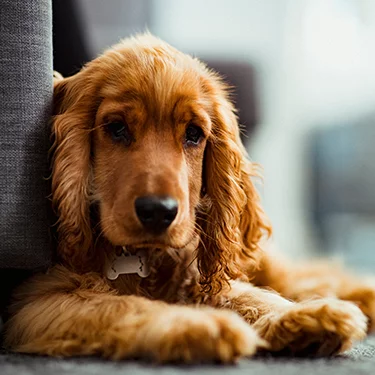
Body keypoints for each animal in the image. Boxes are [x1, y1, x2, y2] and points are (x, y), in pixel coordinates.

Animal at [3, 34, 375, 364]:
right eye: (117, 128)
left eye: (193, 134)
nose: (158, 212)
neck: (143, 258)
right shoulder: (35, 301)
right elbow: (119, 305)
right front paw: (197, 324)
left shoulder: (200, 270)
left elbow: (246, 295)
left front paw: (303, 315)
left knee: (299, 274)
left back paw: (357, 295)